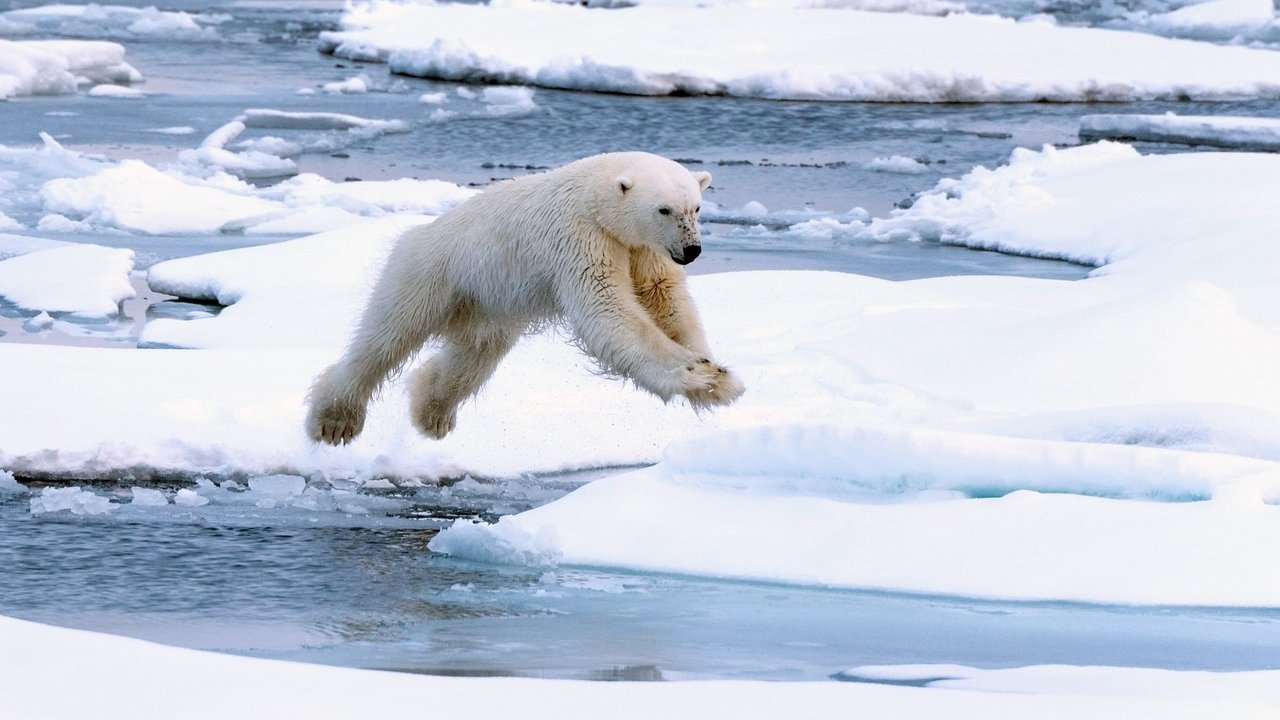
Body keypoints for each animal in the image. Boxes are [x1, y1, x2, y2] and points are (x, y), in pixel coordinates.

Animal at [305, 151, 745, 445]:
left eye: (696, 207)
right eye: (664, 209)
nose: (692, 251)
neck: (596, 195)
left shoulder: (644, 249)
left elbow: (665, 300)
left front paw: (718, 376)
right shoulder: (582, 238)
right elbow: (608, 308)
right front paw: (696, 374)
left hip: (489, 303)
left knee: (473, 356)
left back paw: (432, 414)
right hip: (429, 274)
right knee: (386, 337)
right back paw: (334, 421)